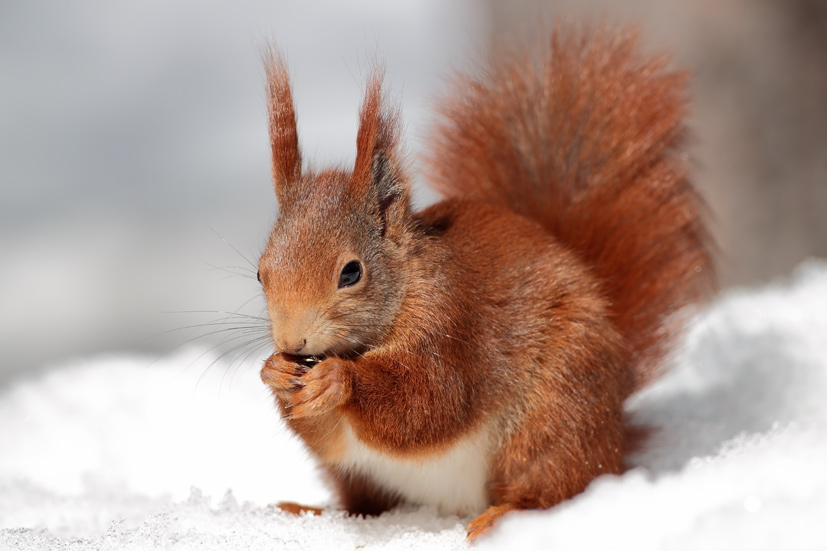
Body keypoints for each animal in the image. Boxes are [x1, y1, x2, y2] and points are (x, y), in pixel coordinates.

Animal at [256, 24, 714, 540]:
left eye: (351, 272)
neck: (408, 285)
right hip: (365, 477)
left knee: (557, 487)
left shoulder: (450, 324)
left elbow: (430, 401)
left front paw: (338, 379)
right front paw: (275, 372)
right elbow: (332, 438)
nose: (291, 342)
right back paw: (311, 512)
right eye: (260, 272)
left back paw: (506, 515)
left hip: (555, 417)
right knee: (366, 500)